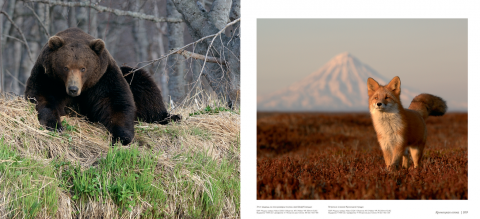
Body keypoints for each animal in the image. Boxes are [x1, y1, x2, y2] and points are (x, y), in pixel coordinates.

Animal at [23, 28, 180, 146]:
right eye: (66, 67)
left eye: (83, 68)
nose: (73, 89)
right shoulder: (48, 77)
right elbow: (42, 98)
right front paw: (55, 125)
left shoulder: (102, 79)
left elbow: (115, 104)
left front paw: (121, 137)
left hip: (135, 79)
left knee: (144, 87)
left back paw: (171, 116)